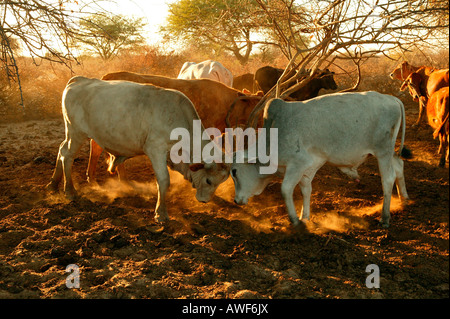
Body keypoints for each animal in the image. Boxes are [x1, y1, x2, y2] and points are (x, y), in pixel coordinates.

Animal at [47, 77, 230, 222]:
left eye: (220, 182)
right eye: (209, 180)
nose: (204, 201)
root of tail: (79, 80)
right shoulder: (156, 150)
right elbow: (164, 181)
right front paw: (161, 213)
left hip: (72, 134)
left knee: (61, 149)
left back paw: (53, 184)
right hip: (76, 132)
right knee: (67, 155)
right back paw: (70, 191)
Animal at [232, 91, 412, 229]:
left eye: (234, 171)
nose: (236, 200)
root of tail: (391, 99)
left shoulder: (297, 164)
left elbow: (286, 189)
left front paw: (295, 220)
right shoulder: (309, 167)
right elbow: (306, 190)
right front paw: (305, 217)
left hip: (382, 152)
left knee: (387, 179)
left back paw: (385, 218)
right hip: (389, 152)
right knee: (399, 166)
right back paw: (404, 199)